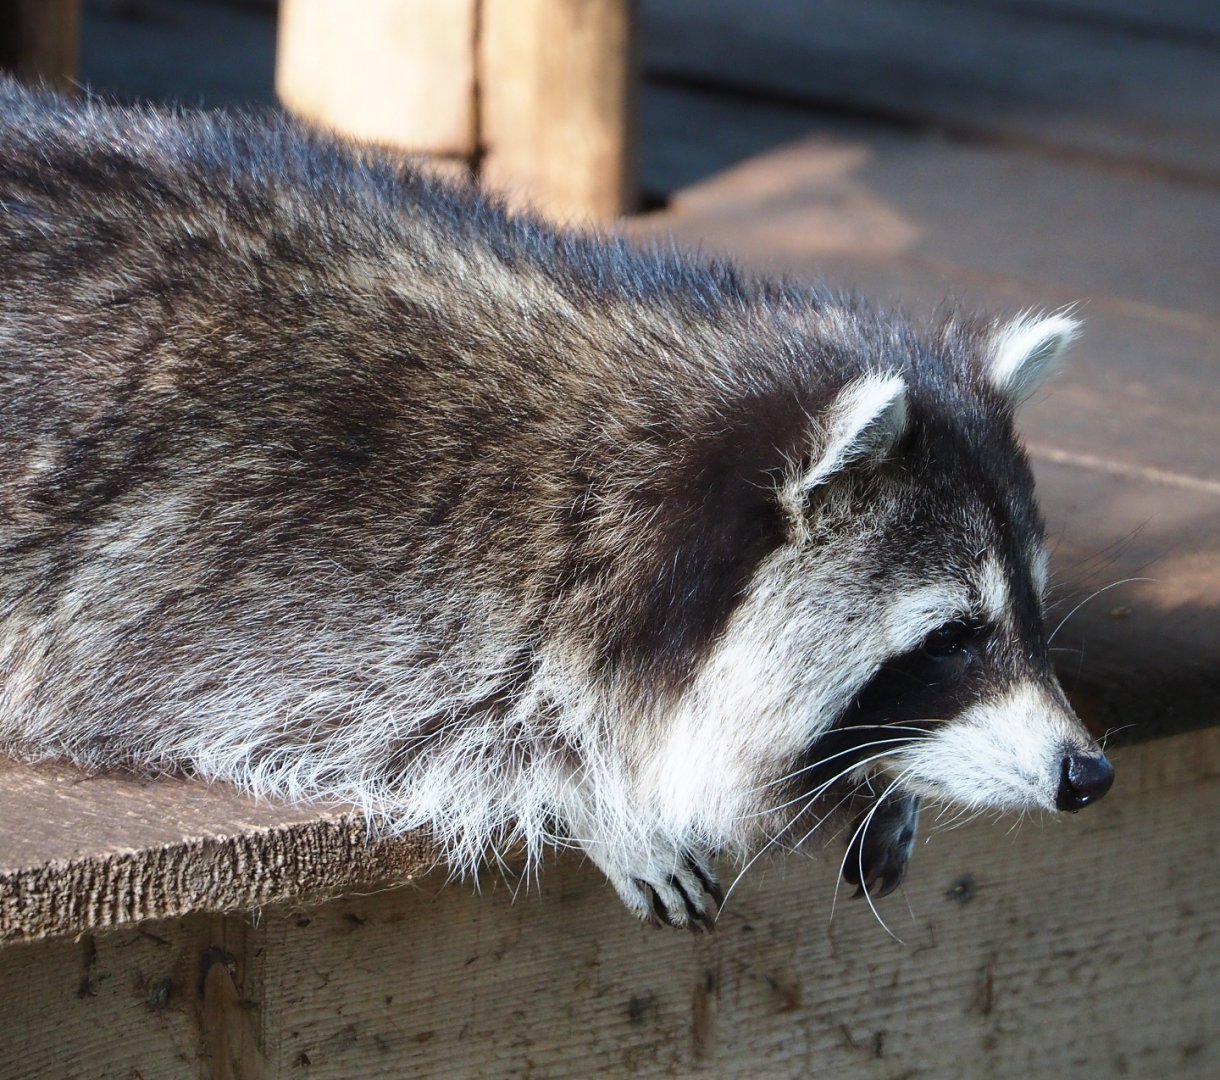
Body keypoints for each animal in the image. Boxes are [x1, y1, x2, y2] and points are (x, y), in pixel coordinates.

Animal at [0, 81, 1112, 929]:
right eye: (951, 637)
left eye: (1027, 610)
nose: (1086, 775)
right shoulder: (279, 550)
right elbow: (282, 707)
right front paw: (588, 788)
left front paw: (887, 778)